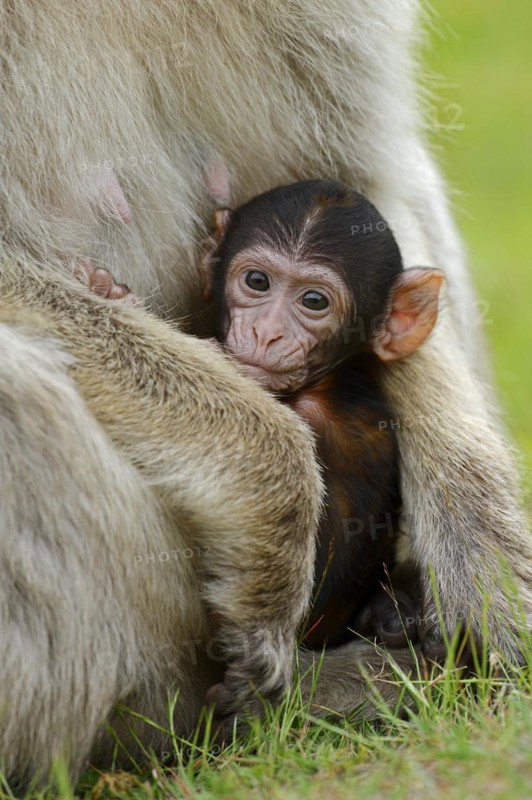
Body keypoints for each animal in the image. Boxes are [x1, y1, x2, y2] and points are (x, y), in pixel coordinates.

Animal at [0, 0, 530, 787]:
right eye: (255, 282)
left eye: (313, 301)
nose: (269, 334)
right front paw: (273, 485)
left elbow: (362, 186)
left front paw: (491, 566)